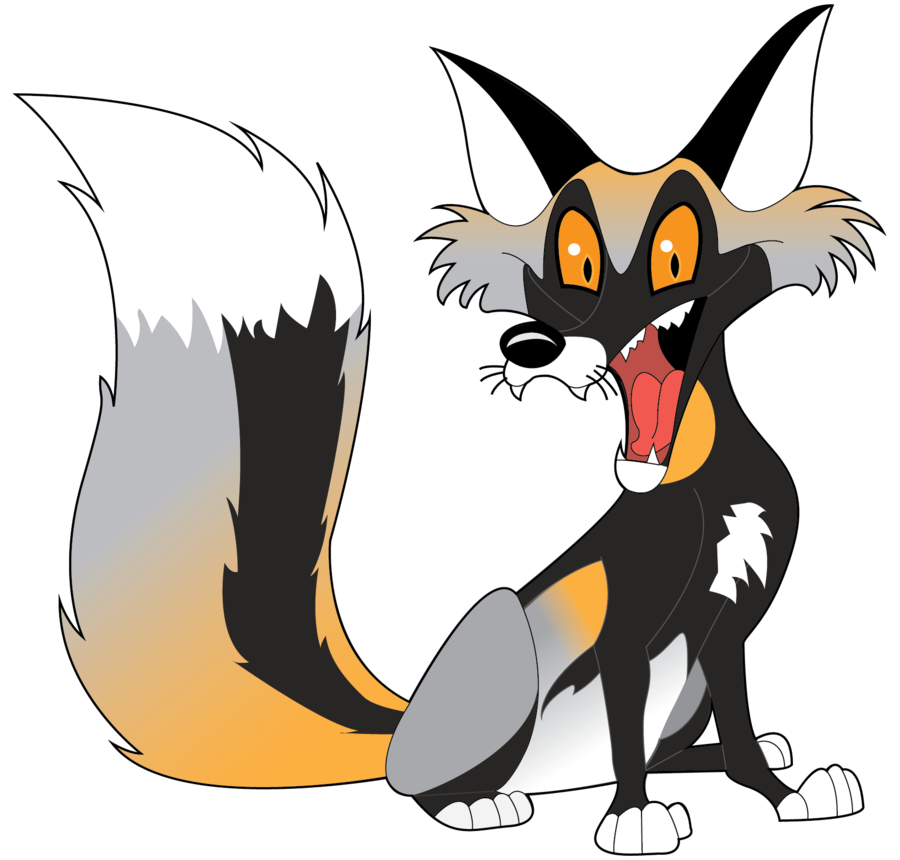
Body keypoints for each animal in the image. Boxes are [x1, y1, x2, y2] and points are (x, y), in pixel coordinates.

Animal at [13, 0, 889, 853]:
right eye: (575, 263)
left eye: (676, 252)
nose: (533, 346)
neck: (707, 490)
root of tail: (404, 725)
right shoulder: (627, 629)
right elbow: (629, 727)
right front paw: (636, 817)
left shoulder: (728, 631)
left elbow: (738, 732)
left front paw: (778, 790)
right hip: (498, 621)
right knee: (428, 786)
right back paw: (478, 805)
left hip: (675, 694)